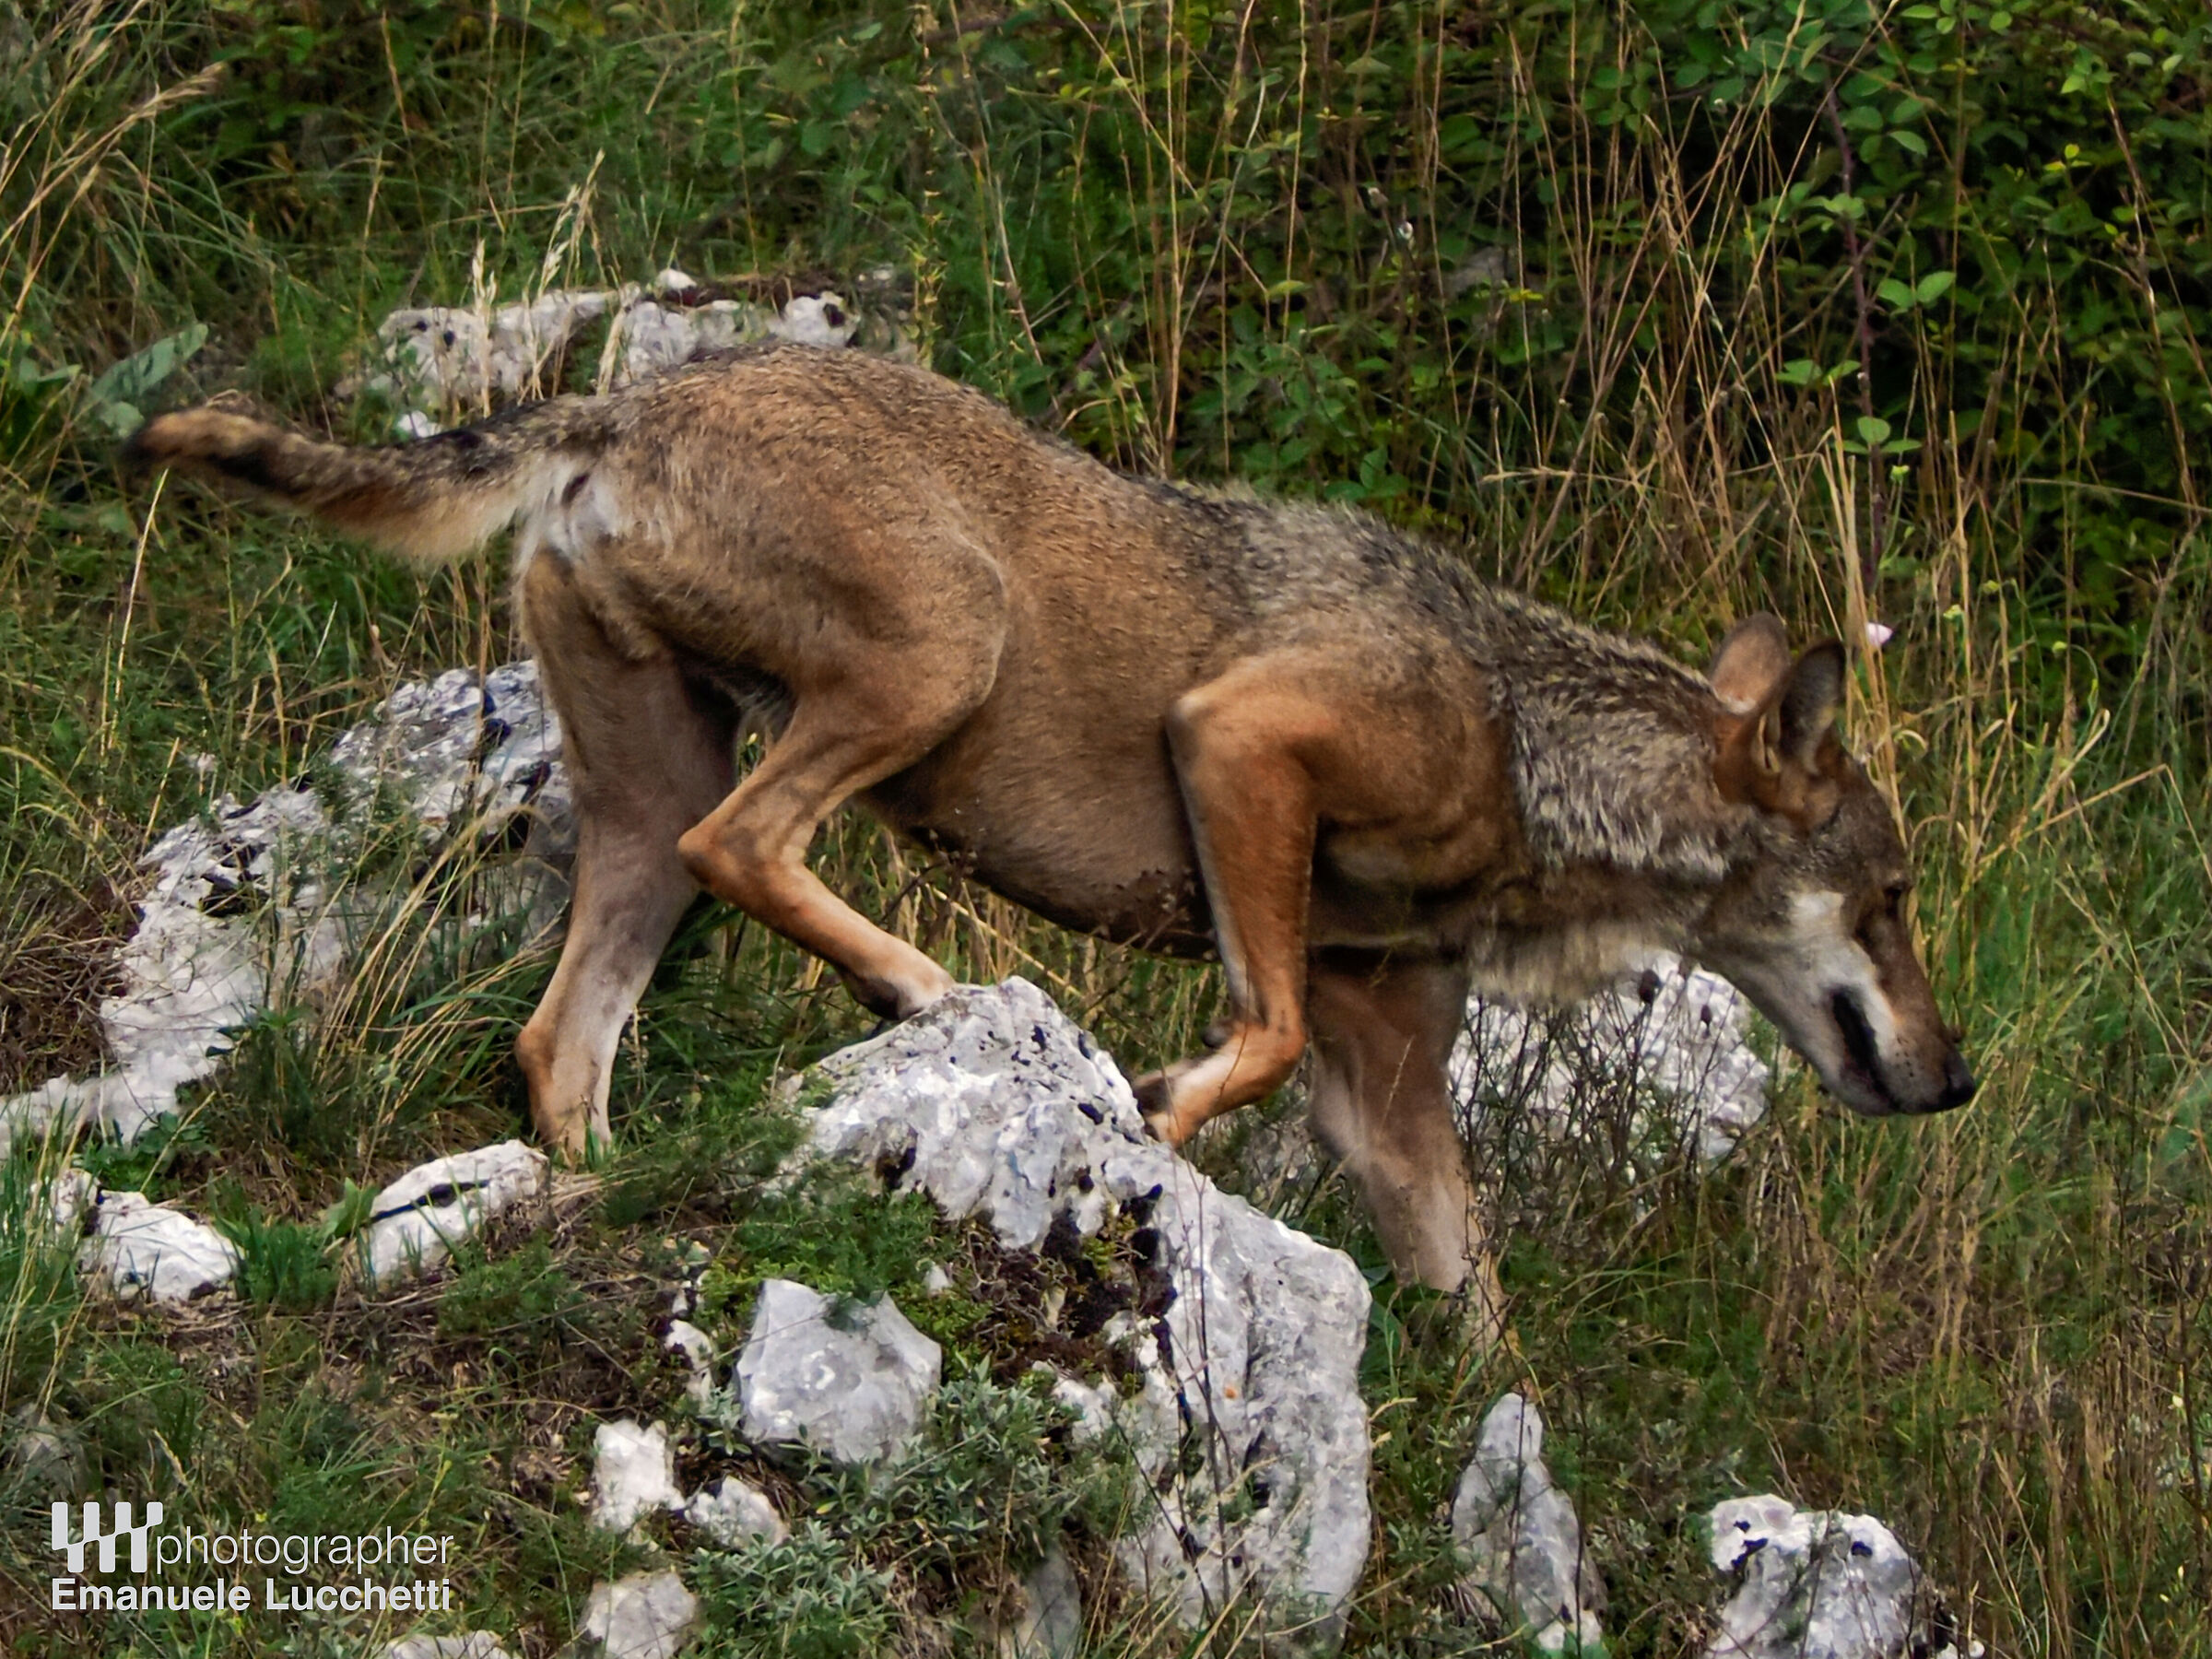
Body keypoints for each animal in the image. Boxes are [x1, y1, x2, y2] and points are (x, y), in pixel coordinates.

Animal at [126, 344, 1975, 1318]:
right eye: (1890, 901)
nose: (1959, 1079)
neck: (1532, 752)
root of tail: (631, 402)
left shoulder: (1389, 1083)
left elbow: (1479, 1310)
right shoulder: (1242, 746)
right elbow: (1254, 1027)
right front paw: (1148, 1106)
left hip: (649, 808)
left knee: (558, 1036)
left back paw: (599, 1192)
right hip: (937, 659)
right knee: (751, 854)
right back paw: (926, 995)